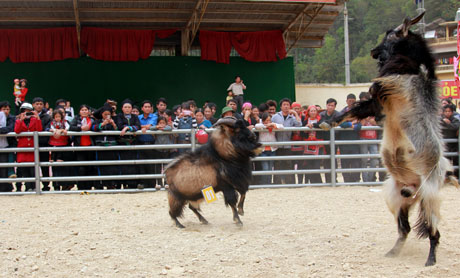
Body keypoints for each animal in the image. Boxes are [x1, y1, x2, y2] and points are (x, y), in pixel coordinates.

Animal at [336, 12, 458, 264]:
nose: (373, 51)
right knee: (405, 228)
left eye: (390, 35)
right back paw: (393, 252)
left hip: (429, 197)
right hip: (396, 197)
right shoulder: (381, 98)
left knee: (433, 231)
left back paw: (430, 260)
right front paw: (331, 120)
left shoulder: (395, 86)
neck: (411, 65)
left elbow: (374, 89)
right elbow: (361, 106)